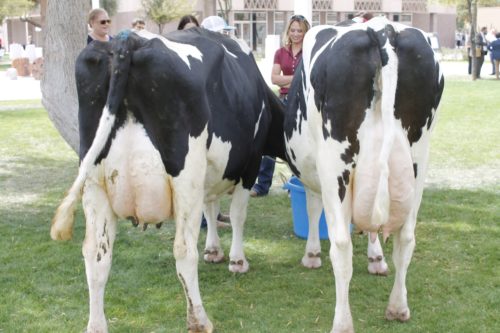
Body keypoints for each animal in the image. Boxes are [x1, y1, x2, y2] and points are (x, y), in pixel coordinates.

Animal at [51, 27, 286, 330]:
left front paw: (214, 250)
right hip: (185, 175)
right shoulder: (249, 164)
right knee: (184, 251)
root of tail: (127, 40)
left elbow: (210, 210)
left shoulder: (208, 176)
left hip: (94, 182)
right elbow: (236, 215)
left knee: (96, 255)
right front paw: (237, 261)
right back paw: (199, 321)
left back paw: (96, 326)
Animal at [284, 16, 444, 330]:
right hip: (419, 160)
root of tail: (382, 31)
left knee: (341, 245)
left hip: (335, 164)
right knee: (406, 238)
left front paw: (311, 255)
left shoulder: (314, 173)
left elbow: (312, 208)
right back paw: (398, 307)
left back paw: (342, 323)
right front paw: (376, 259)